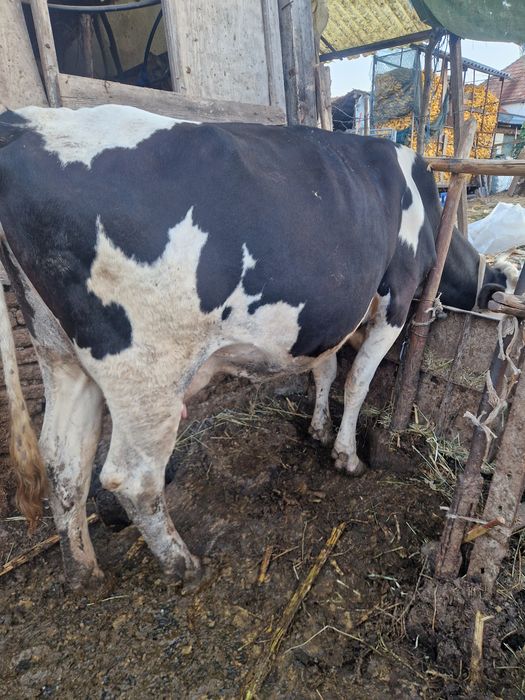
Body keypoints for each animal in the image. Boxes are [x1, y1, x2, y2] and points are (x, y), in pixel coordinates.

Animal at [0, 104, 517, 589]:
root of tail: (26, 121)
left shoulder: (332, 316)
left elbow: (326, 371)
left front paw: (318, 429)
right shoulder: (397, 296)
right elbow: (357, 382)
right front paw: (347, 455)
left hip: (59, 352)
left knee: (63, 459)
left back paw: (82, 570)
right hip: (147, 370)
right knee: (133, 477)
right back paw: (183, 564)